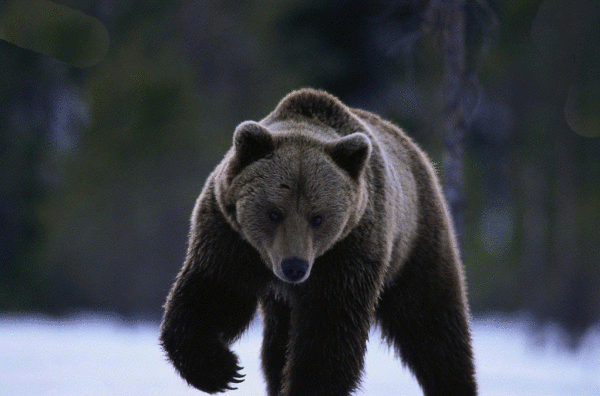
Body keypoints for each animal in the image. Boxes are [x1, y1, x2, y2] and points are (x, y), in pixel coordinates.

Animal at [159, 88, 478, 394]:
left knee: (432, 326)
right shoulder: (230, 237)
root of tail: (416, 150)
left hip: (415, 243)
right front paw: (221, 370)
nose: (294, 266)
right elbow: (213, 293)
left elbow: (328, 335)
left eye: (318, 217)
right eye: (274, 212)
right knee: (276, 348)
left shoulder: (349, 251)